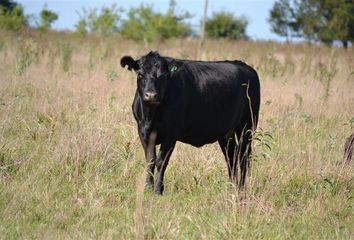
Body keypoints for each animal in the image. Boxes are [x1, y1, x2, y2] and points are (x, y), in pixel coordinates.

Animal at [121, 51, 260, 194]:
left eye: (163, 75)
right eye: (140, 74)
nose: (151, 95)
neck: (151, 116)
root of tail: (244, 66)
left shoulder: (171, 133)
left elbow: (161, 161)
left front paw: (158, 190)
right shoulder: (143, 131)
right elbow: (150, 160)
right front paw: (148, 188)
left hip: (247, 127)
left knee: (243, 157)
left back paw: (242, 188)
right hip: (226, 134)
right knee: (231, 158)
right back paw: (232, 186)